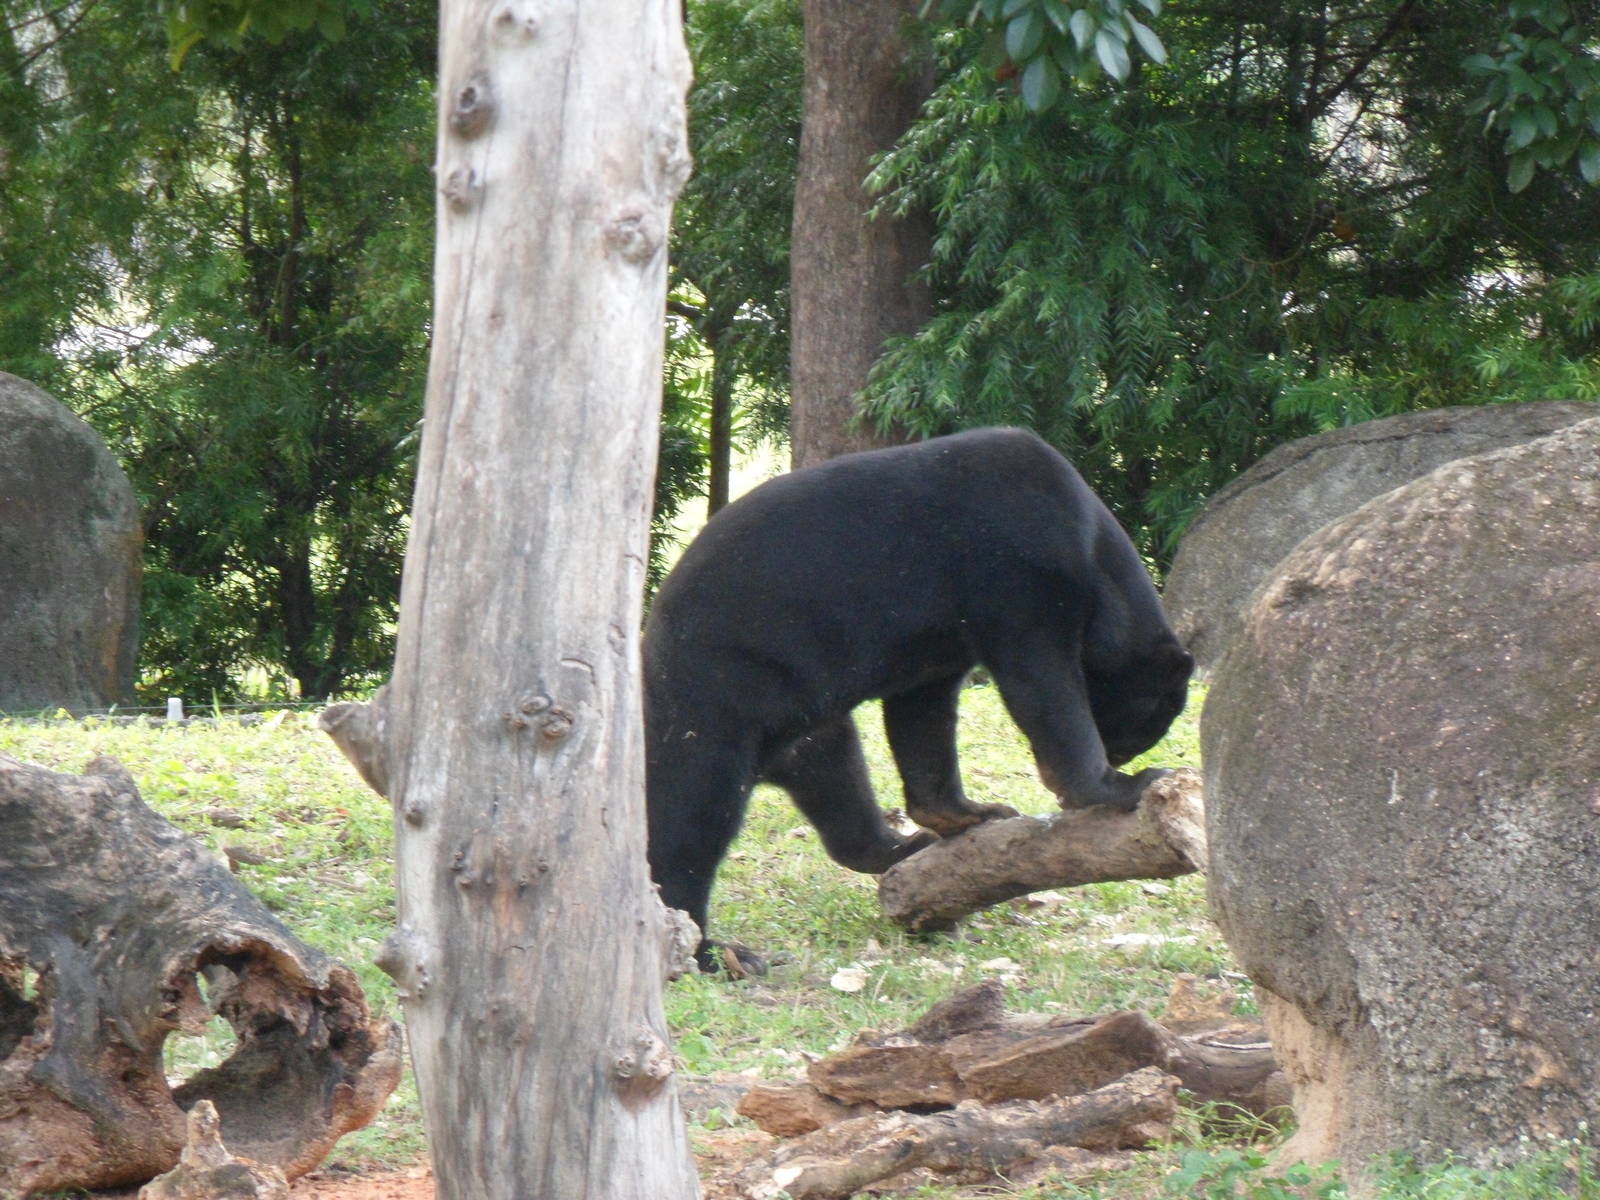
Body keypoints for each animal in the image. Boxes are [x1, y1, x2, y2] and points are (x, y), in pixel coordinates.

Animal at [643, 427, 1192, 971]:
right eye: (1139, 732)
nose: (1122, 752)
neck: (1089, 545)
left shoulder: (941, 646)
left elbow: (922, 717)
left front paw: (975, 812)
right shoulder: (1017, 571)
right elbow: (1043, 686)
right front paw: (1126, 783)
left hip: (801, 723)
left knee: (837, 782)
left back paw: (901, 846)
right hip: (714, 697)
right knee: (690, 816)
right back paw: (713, 950)